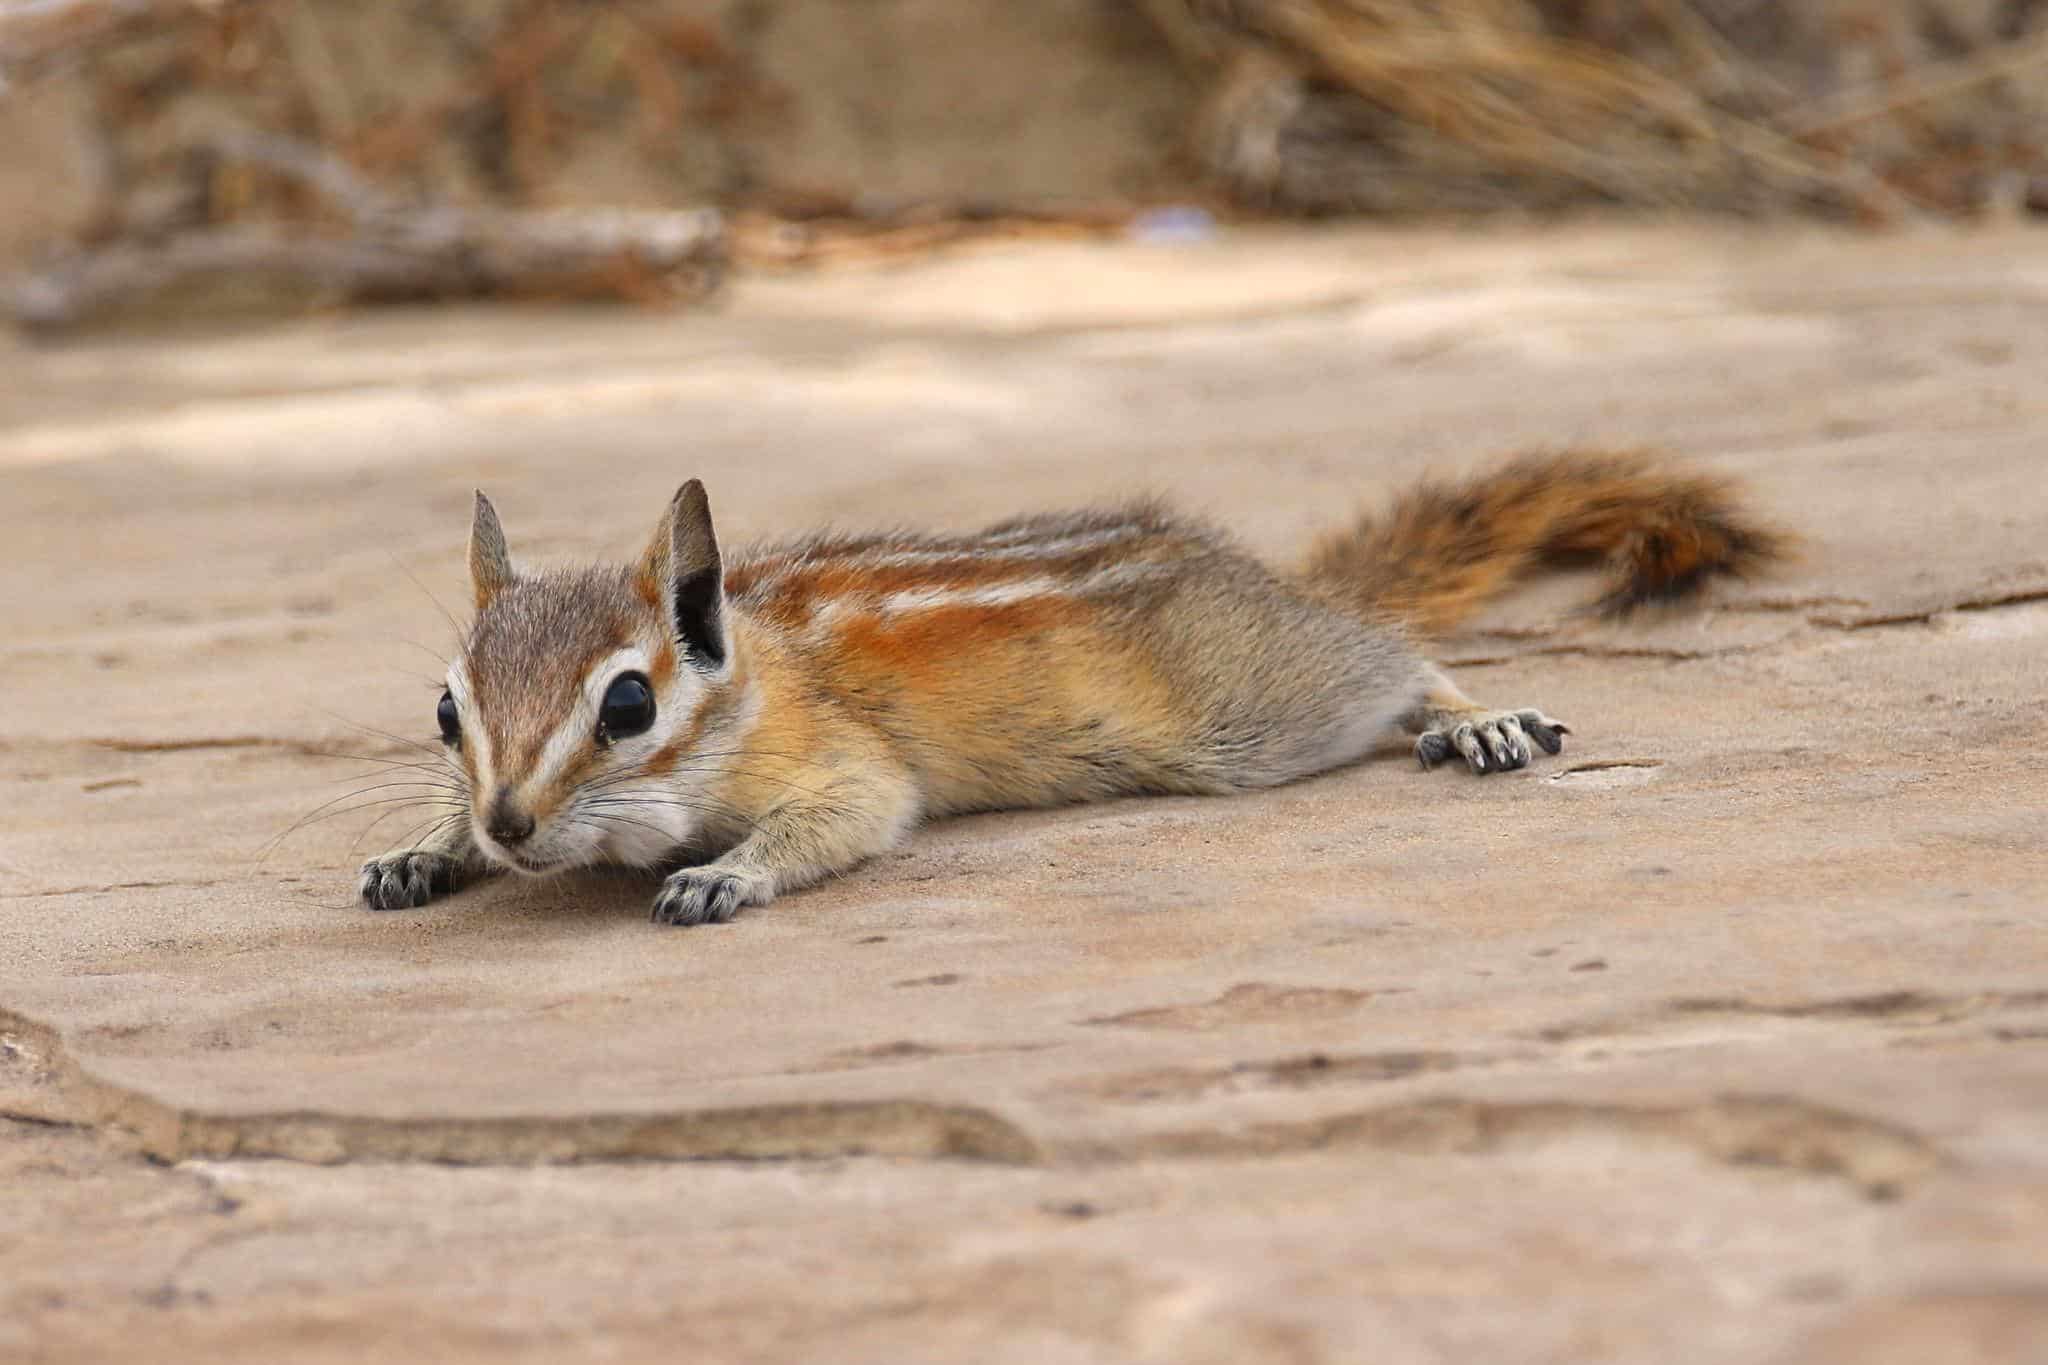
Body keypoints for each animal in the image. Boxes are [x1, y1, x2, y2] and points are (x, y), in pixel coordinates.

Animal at [358, 451, 1783, 925]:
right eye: (445, 712)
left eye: (628, 707)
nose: (508, 826)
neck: (757, 672)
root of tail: (1246, 565)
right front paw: (424, 850)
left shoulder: (843, 760)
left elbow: (849, 818)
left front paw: (726, 875)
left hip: (1263, 707)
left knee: (1391, 652)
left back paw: (1472, 715)